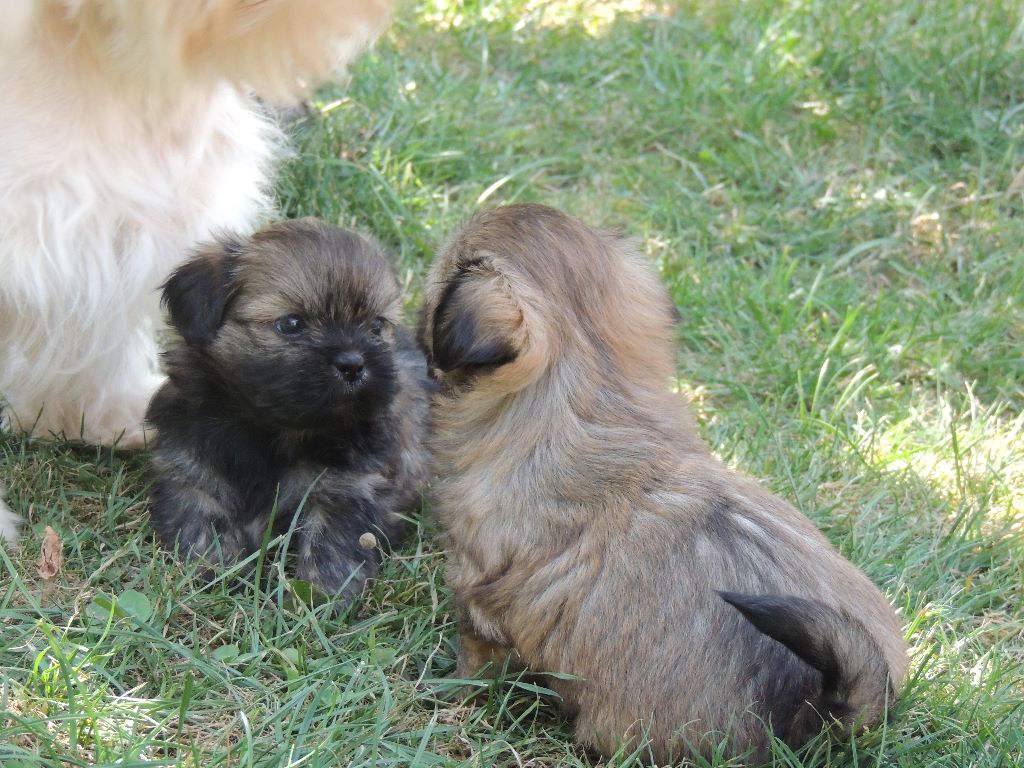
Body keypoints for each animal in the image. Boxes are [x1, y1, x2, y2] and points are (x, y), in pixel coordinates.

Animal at [146, 218, 431, 601]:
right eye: (291, 324)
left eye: (376, 326)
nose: (353, 363)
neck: (270, 432)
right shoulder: (190, 471)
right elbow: (202, 520)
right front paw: (215, 571)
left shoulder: (348, 487)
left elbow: (333, 540)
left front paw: (320, 596)